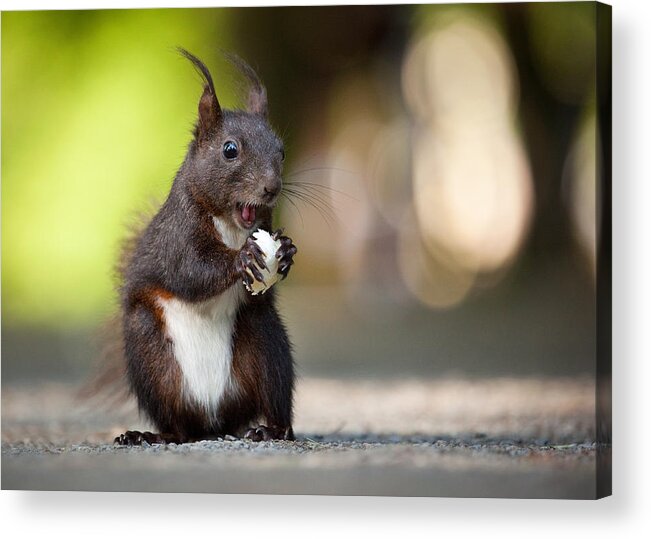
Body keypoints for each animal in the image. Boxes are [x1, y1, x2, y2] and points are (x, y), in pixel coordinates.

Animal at [114, 49, 298, 448]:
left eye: (281, 151)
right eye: (229, 150)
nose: (271, 188)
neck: (231, 225)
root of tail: (213, 420)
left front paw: (287, 251)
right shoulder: (176, 237)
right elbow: (190, 272)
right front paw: (242, 258)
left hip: (265, 342)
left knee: (271, 396)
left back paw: (271, 429)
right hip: (150, 355)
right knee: (178, 426)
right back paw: (152, 435)